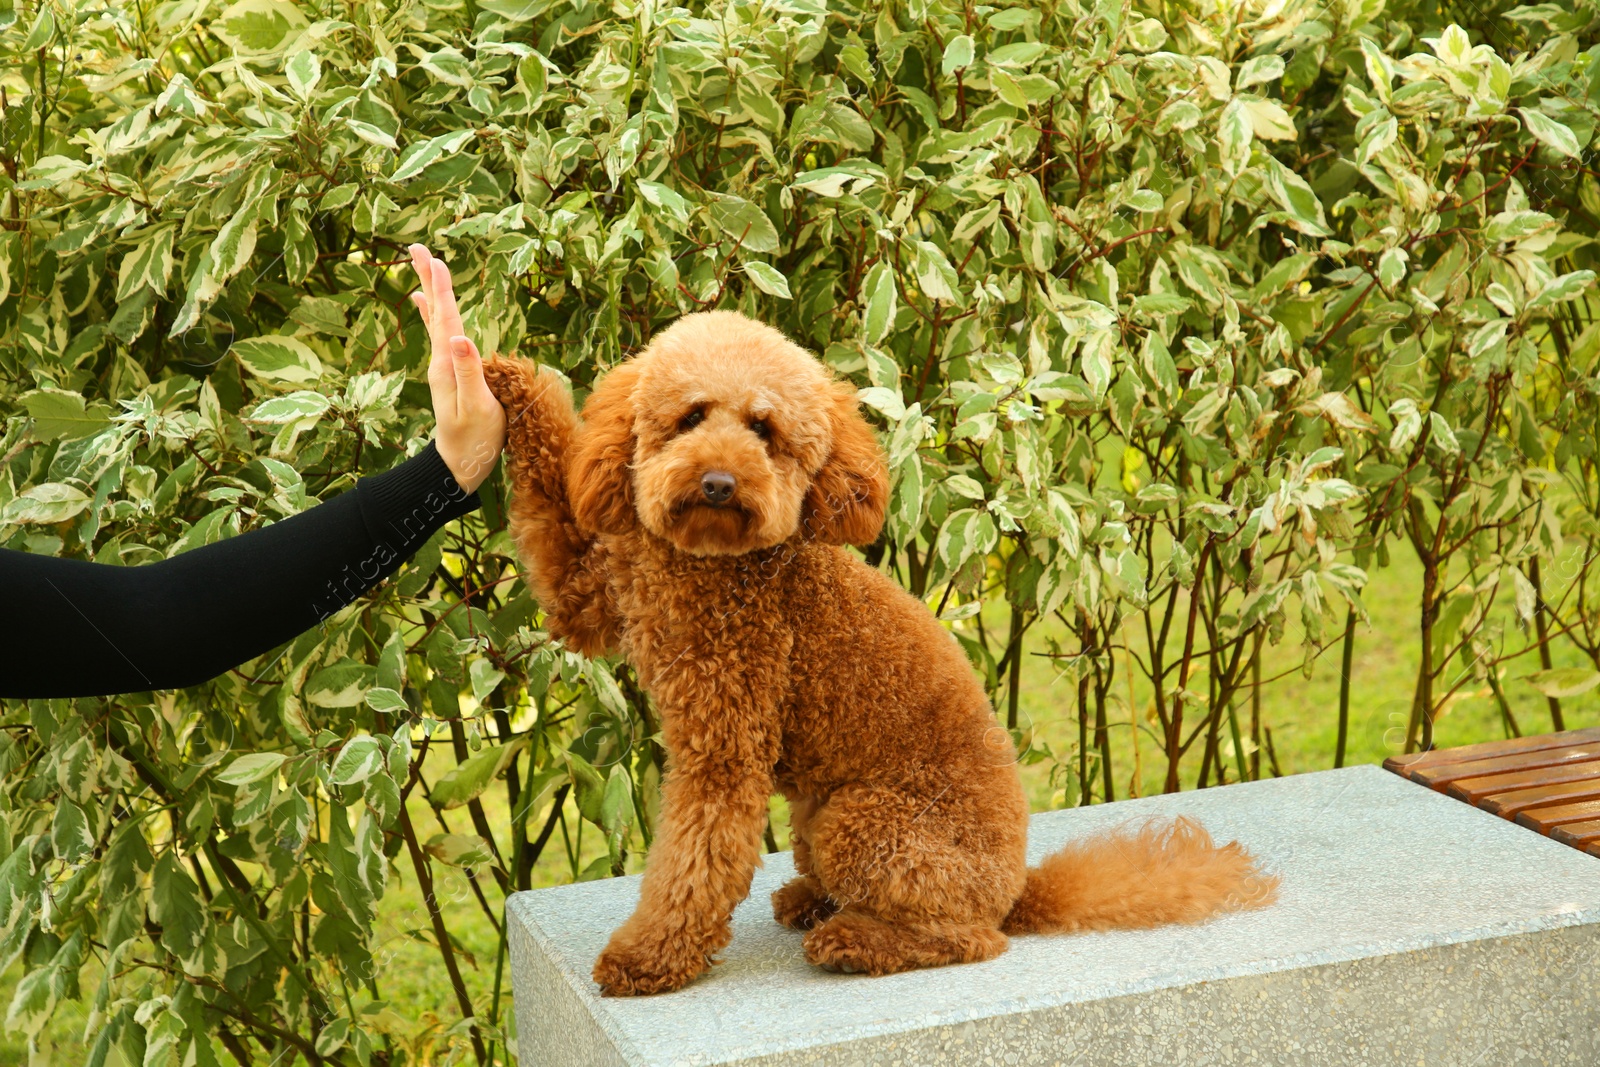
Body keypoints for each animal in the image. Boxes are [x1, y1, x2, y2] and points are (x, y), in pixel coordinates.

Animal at [480, 313, 1280, 998]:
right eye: (691, 416)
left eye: (765, 431)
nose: (718, 483)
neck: (709, 564)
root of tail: (1017, 890)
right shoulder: (597, 594)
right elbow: (551, 507)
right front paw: (503, 380)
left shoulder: (724, 745)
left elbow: (695, 858)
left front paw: (648, 957)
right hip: (819, 812)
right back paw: (815, 901)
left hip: (863, 822)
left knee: (969, 937)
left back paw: (854, 939)